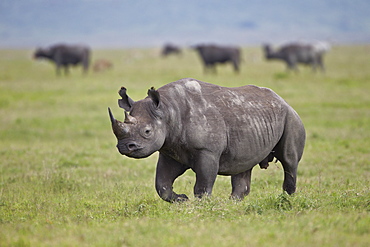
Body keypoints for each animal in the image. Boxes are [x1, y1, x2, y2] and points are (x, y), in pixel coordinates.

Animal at [108, 77, 304, 203]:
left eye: (147, 131)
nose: (125, 147)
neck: (167, 110)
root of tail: (283, 100)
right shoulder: (170, 149)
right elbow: (161, 184)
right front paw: (182, 200)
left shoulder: (207, 151)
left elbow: (203, 183)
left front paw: (202, 205)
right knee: (243, 164)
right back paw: (232, 203)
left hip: (290, 118)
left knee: (289, 161)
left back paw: (286, 198)